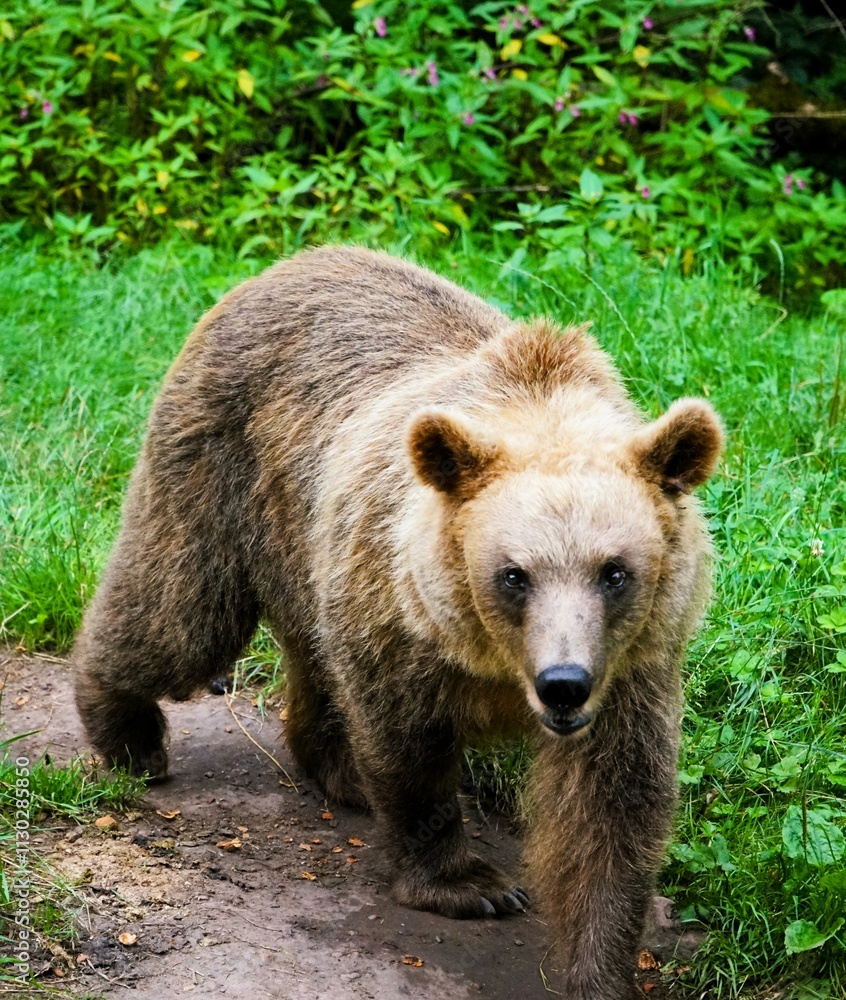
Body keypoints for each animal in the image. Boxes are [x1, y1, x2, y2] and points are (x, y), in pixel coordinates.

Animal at [74, 245, 723, 999]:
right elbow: (408, 741)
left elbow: (611, 804)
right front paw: (469, 883)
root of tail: (277, 267)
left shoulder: (631, 666)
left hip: (305, 546)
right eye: (514, 574)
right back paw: (129, 736)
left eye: (614, 571)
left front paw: (600, 964)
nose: (563, 684)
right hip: (223, 472)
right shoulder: (398, 612)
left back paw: (336, 767)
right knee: (178, 612)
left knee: (309, 655)